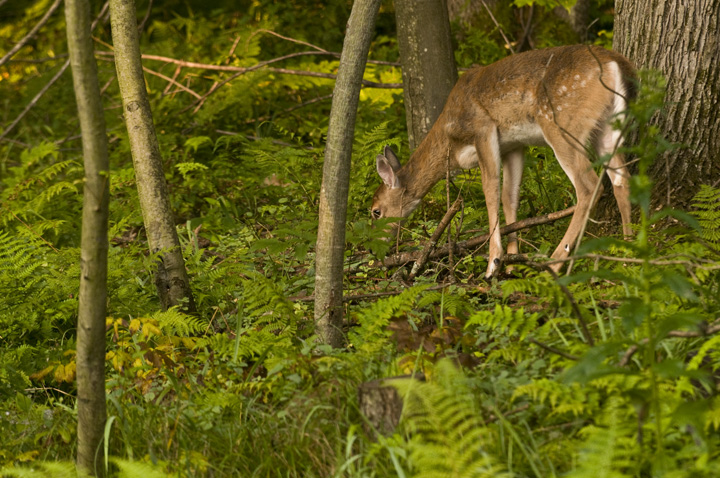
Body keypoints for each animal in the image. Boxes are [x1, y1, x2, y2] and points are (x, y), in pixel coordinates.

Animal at [371, 45, 636, 279]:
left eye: (375, 212)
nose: (376, 250)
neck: (449, 140)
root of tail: (615, 62)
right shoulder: (514, 146)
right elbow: (510, 196)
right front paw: (511, 263)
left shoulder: (483, 130)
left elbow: (491, 191)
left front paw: (493, 263)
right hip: (609, 125)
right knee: (621, 179)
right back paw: (628, 251)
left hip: (562, 123)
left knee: (589, 187)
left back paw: (554, 263)